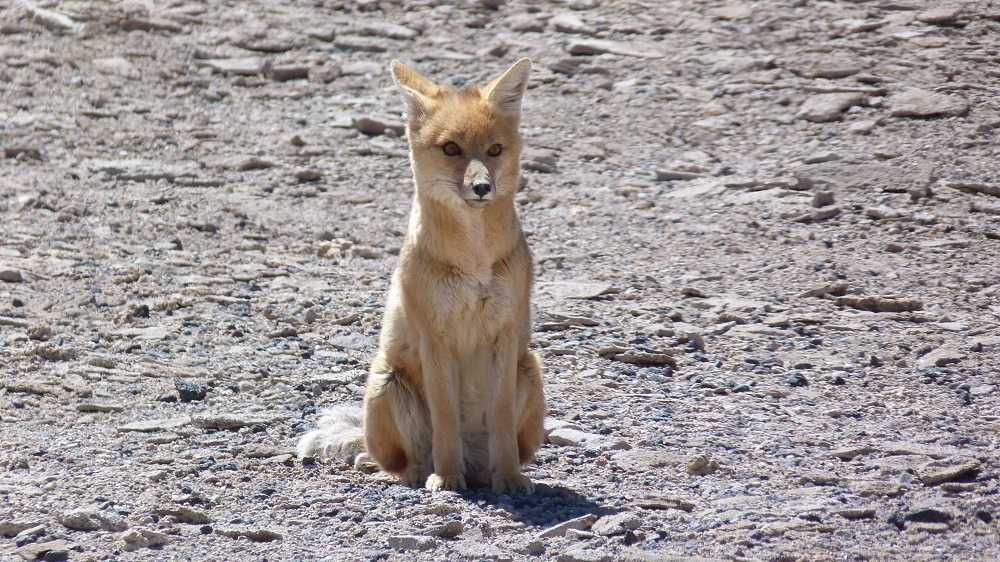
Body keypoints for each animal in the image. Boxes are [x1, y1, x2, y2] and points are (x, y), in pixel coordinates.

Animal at [296, 59, 548, 492]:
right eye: (451, 149)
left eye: (495, 150)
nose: (482, 187)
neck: (472, 260)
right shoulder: (434, 337)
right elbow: (445, 417)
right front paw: (446, 476)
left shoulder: (505, 334)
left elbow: (500, 420)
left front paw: (510, 478)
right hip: (386, 380)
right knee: (397, 460)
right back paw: (415, 471)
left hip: (529, 369)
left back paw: (488, 473)